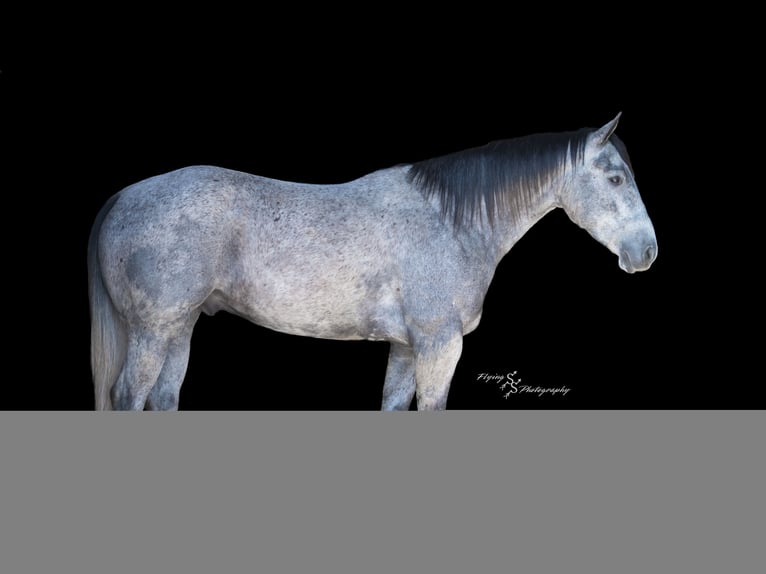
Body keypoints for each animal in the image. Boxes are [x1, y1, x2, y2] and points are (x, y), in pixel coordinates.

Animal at [88, 113, 657, 410]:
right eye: (615, 178)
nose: (647, 251)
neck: (448, 221)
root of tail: (123, 197)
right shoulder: (439, 345)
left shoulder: (406, 348)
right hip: (152, 331)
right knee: (128, 395)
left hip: (180, 327)